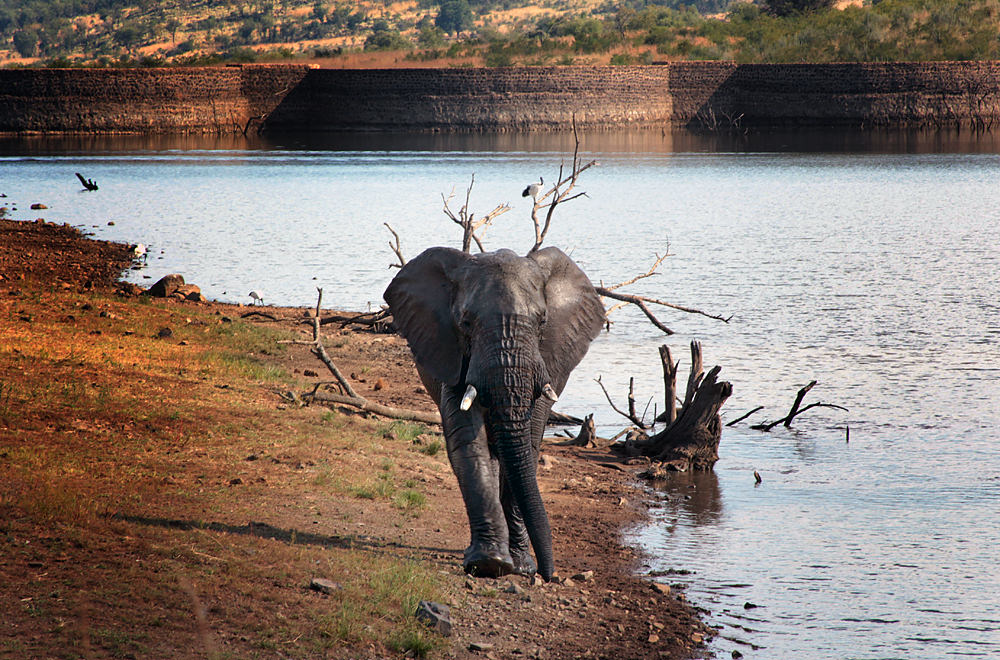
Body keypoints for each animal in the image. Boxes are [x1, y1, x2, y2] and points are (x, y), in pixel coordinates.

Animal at [384, 246, 605, 582]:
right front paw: (490, 564)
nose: (547, 574)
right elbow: (468, 444)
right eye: (465, 323)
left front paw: (520, 567)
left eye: (542, 321)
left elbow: (528, 445)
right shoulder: (453, 355)